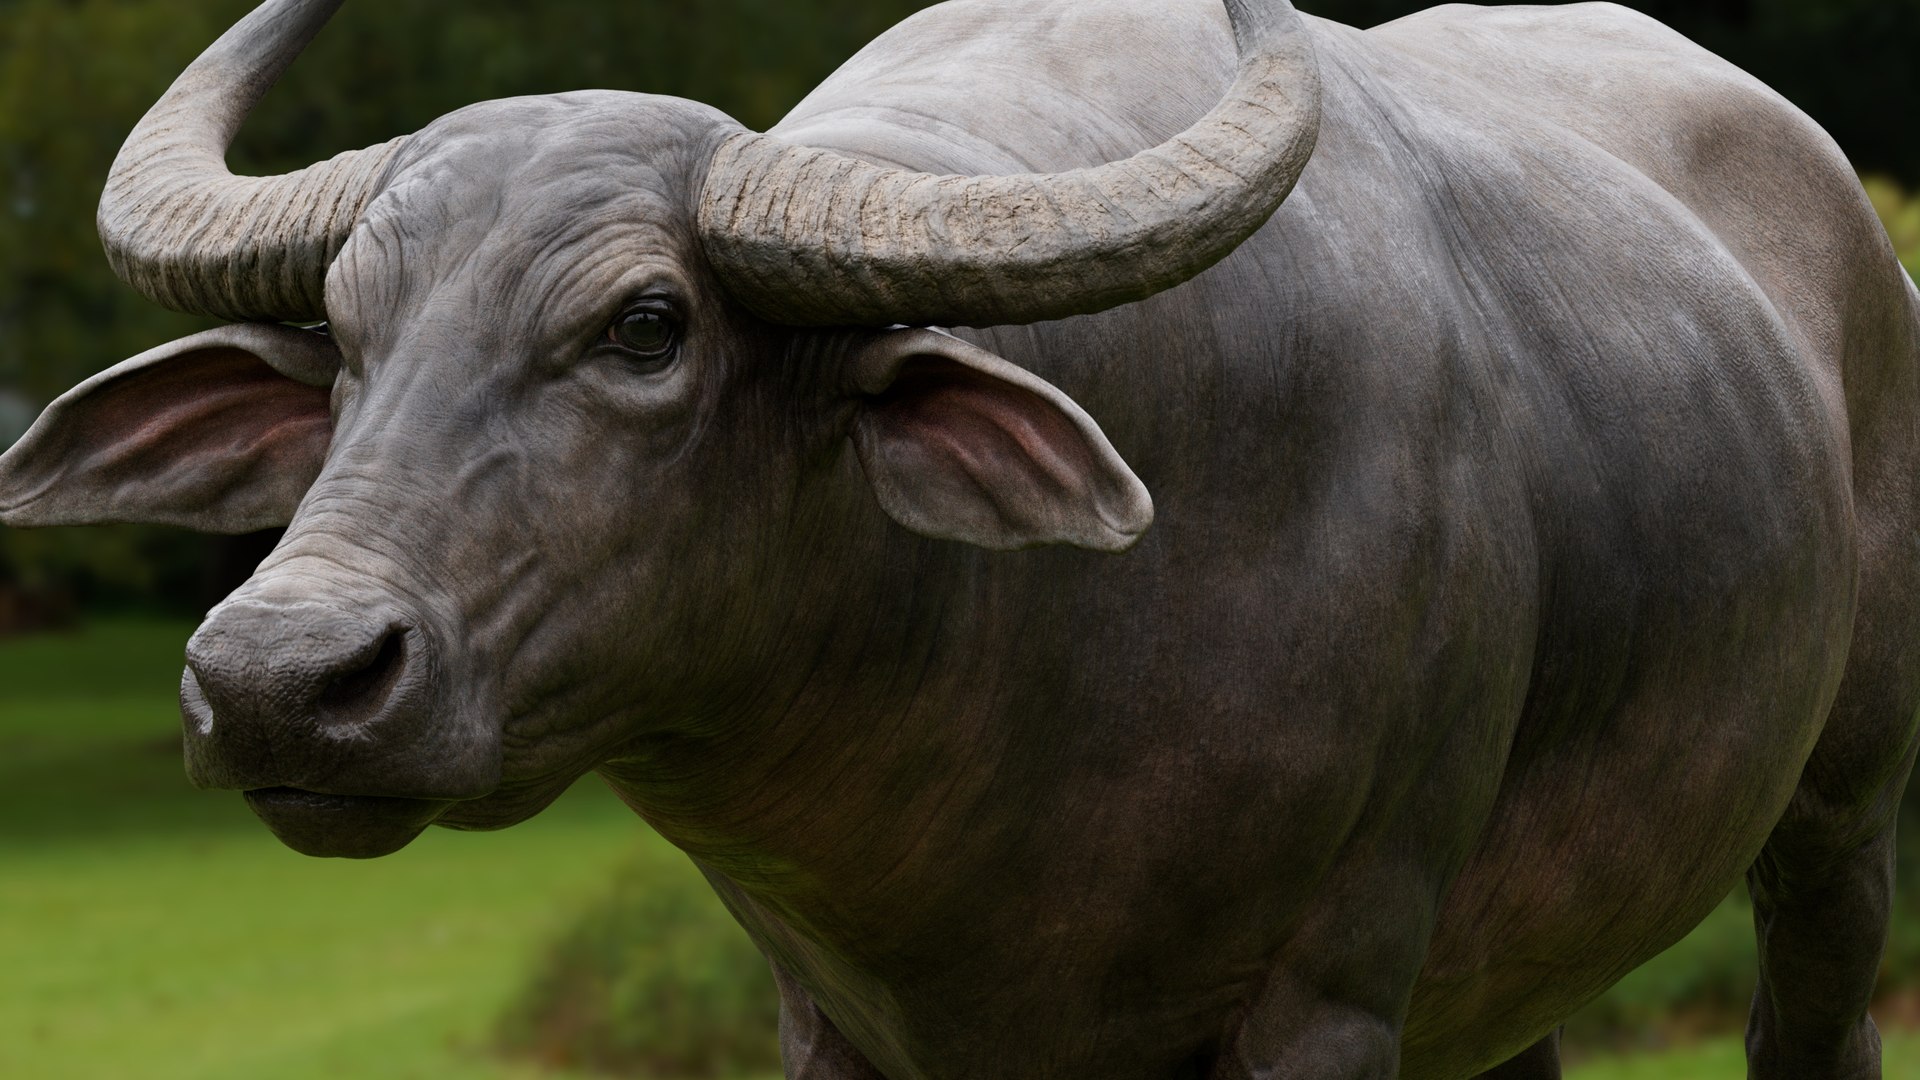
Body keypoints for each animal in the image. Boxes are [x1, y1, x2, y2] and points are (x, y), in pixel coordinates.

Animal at [3, 0, 1917, 1076]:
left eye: (645, 326)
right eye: (344, 333)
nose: (277, 679)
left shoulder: (1331, 993)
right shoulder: (828, 1014)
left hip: (1836, 820)